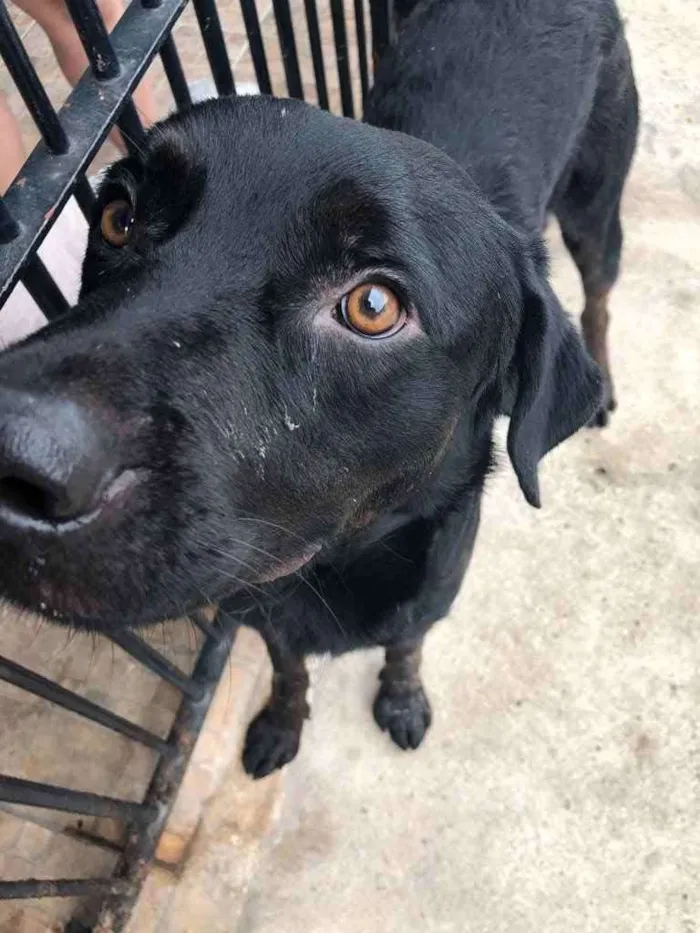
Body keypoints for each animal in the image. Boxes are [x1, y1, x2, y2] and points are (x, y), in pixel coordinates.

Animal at [0, 0, 636, 780]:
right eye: (118, 216)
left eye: (373, 306)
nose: (11, 447)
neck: (334, 569)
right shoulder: (256, 611)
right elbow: (288, 666)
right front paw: (281, 720)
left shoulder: (427, 597)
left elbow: (405, 644)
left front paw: (401, 697)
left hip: (593, 209)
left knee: (599, 294)